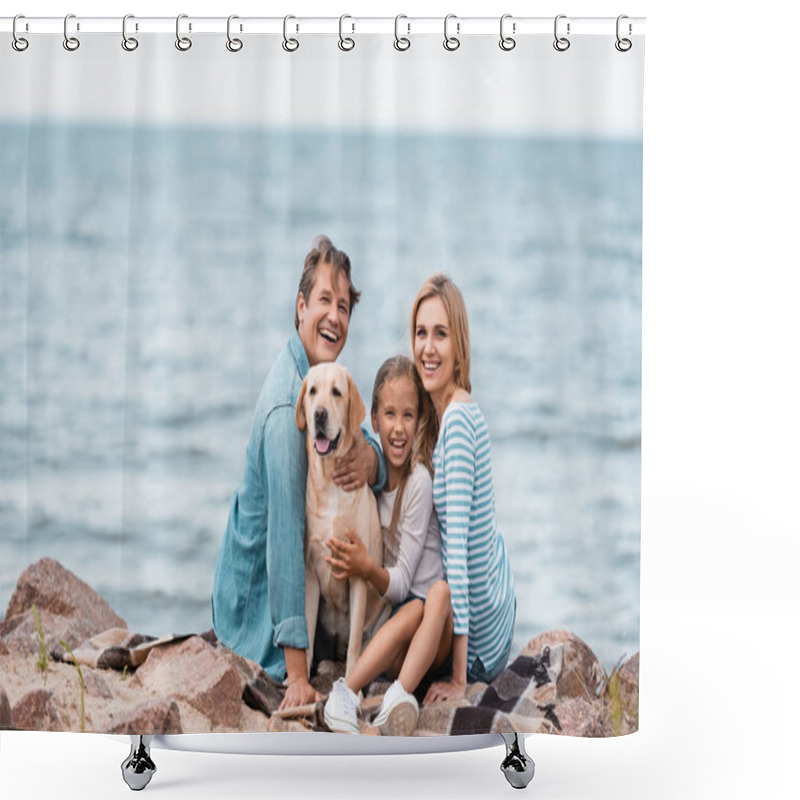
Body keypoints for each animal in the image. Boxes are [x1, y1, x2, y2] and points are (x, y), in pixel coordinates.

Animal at [296, 366, 390, 680]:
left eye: (337, 392)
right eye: (312, 391)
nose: (319, 414)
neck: (331, 482)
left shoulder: (358, 573)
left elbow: (355, 649)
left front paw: (352, 683)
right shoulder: (309, 571)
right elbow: (305, 635)